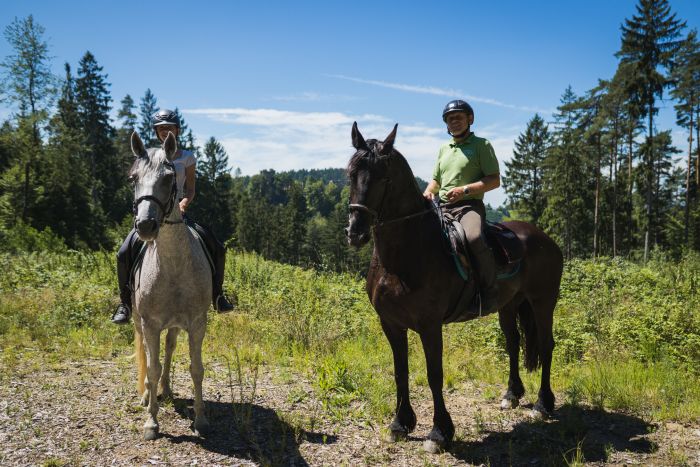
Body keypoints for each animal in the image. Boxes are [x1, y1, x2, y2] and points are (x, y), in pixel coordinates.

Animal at [129, 131, 211, 438]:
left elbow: (196, 368)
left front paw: (201, 419)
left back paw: (165, 389)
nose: (145, 226)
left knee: (169, 348)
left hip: (175, 324)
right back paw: (147, 395)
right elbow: (151, 368)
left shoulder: (197, 322)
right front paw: (151, 421)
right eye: (133, 178)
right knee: (148, 355)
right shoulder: (150, 323)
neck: (173, 266)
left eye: (168, 178)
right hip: (138, 320)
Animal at [344, 122, 564, 452]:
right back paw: (511, 395)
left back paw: (542, 404)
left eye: (384, 177)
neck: (406, 254)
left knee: (547, 345)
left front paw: (439, 432)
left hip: (542, 302)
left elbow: (434, 374)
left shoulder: (430, 324)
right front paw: (400, 424)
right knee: (513, 343)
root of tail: (545, 239)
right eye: (350, 174)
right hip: (510, 305)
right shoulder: (391, 323)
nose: (355, 232)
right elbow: (400, 371)